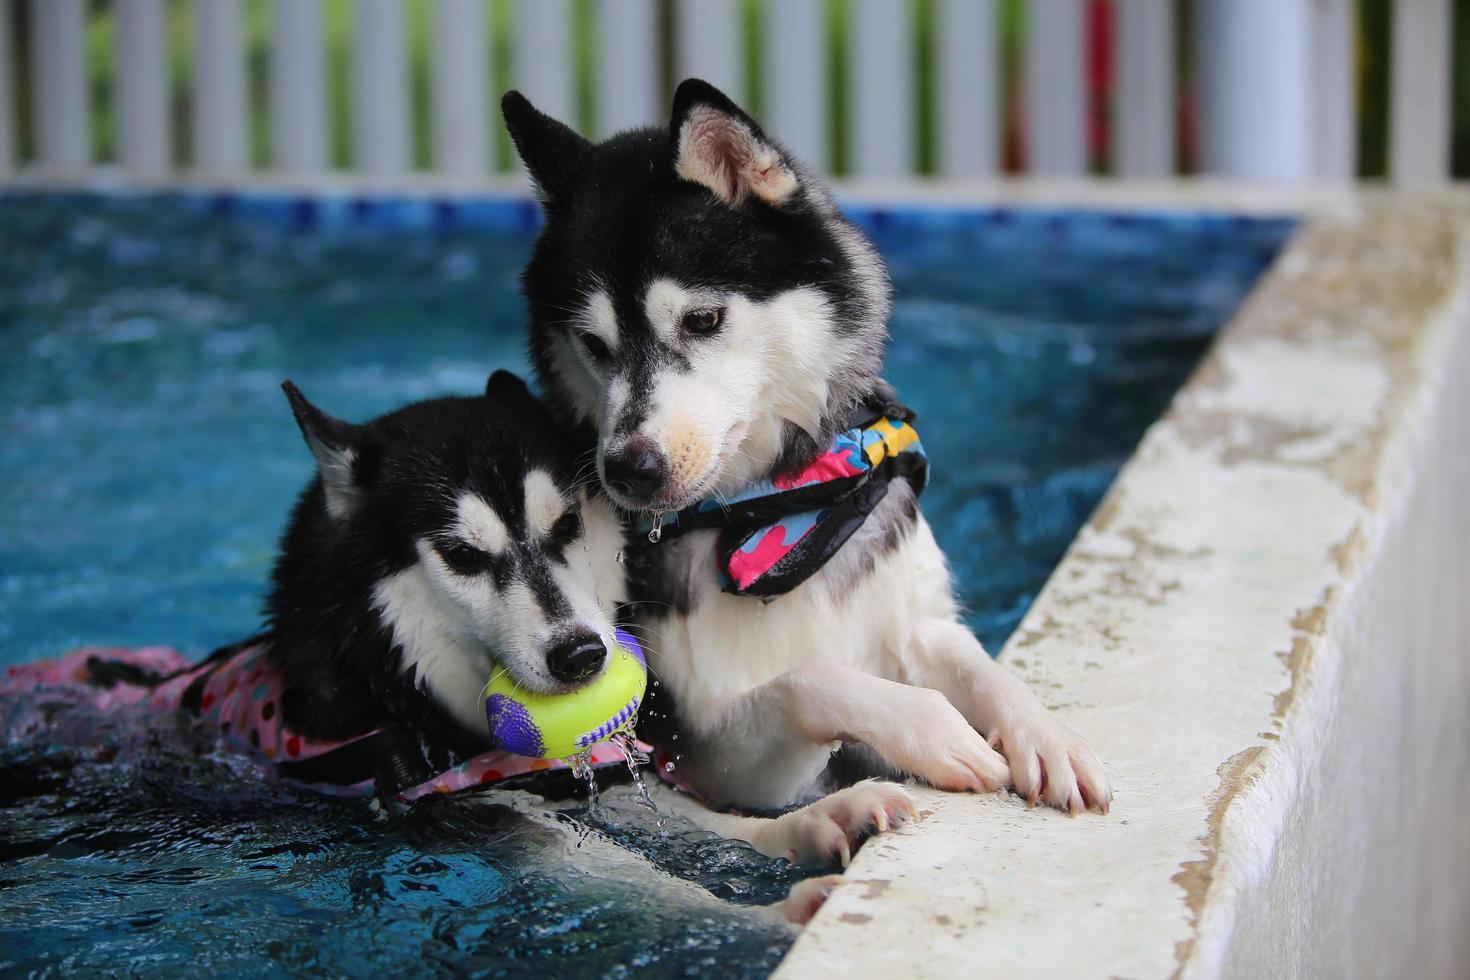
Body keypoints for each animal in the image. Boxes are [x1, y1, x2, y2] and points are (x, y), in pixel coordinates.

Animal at [505, 80, 1111, 816]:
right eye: (593, 345)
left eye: (702, 320)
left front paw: (1046, 737)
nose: (630, 468)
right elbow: (812, 680)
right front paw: (936, 729)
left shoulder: (918, 618)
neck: (779, 513)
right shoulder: (711, 761)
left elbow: (983, 667)